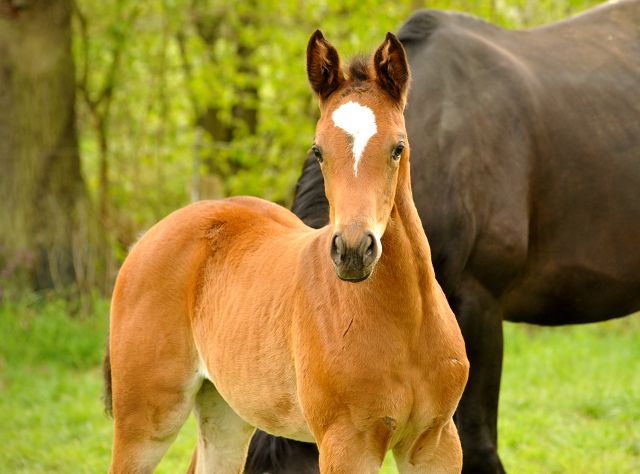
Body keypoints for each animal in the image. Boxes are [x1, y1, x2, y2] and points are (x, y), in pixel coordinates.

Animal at [104, 31, 464, 472]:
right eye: (318, 151)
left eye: (398, 148)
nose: (353, 250)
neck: (406, 325)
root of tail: (145, 239)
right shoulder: (348, 445)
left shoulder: (436, 442)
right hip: (146, 419)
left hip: (225, 412)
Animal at [248, 1, 640, 472]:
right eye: (317, 150)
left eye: (398, 148)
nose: (352, 252)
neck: (447, 145)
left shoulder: (480, 307)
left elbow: (480, 447)